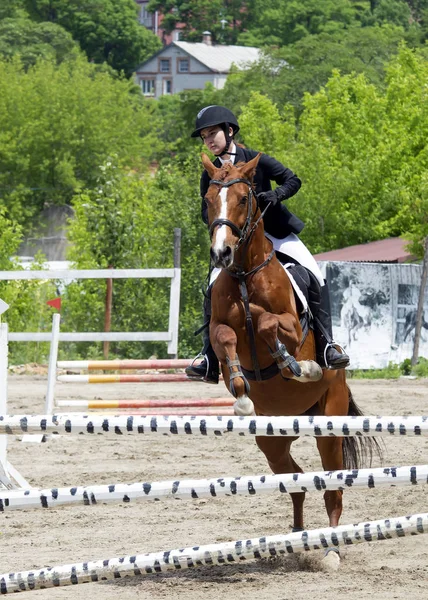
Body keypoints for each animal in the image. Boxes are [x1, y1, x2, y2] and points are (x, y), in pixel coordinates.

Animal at [202, 154, 380, 528]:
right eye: (208, 200)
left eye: (245, 198)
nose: (221, 253)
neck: (245, 274)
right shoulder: (220, 328)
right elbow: (226, 337)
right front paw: (240, 391)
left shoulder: (293, 328)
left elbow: (269, 324)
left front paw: (296, 365)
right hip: (271, 440)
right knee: (295, 481)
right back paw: (297, 535)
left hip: (328, 424)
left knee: (332, 490)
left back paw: (331, 543)